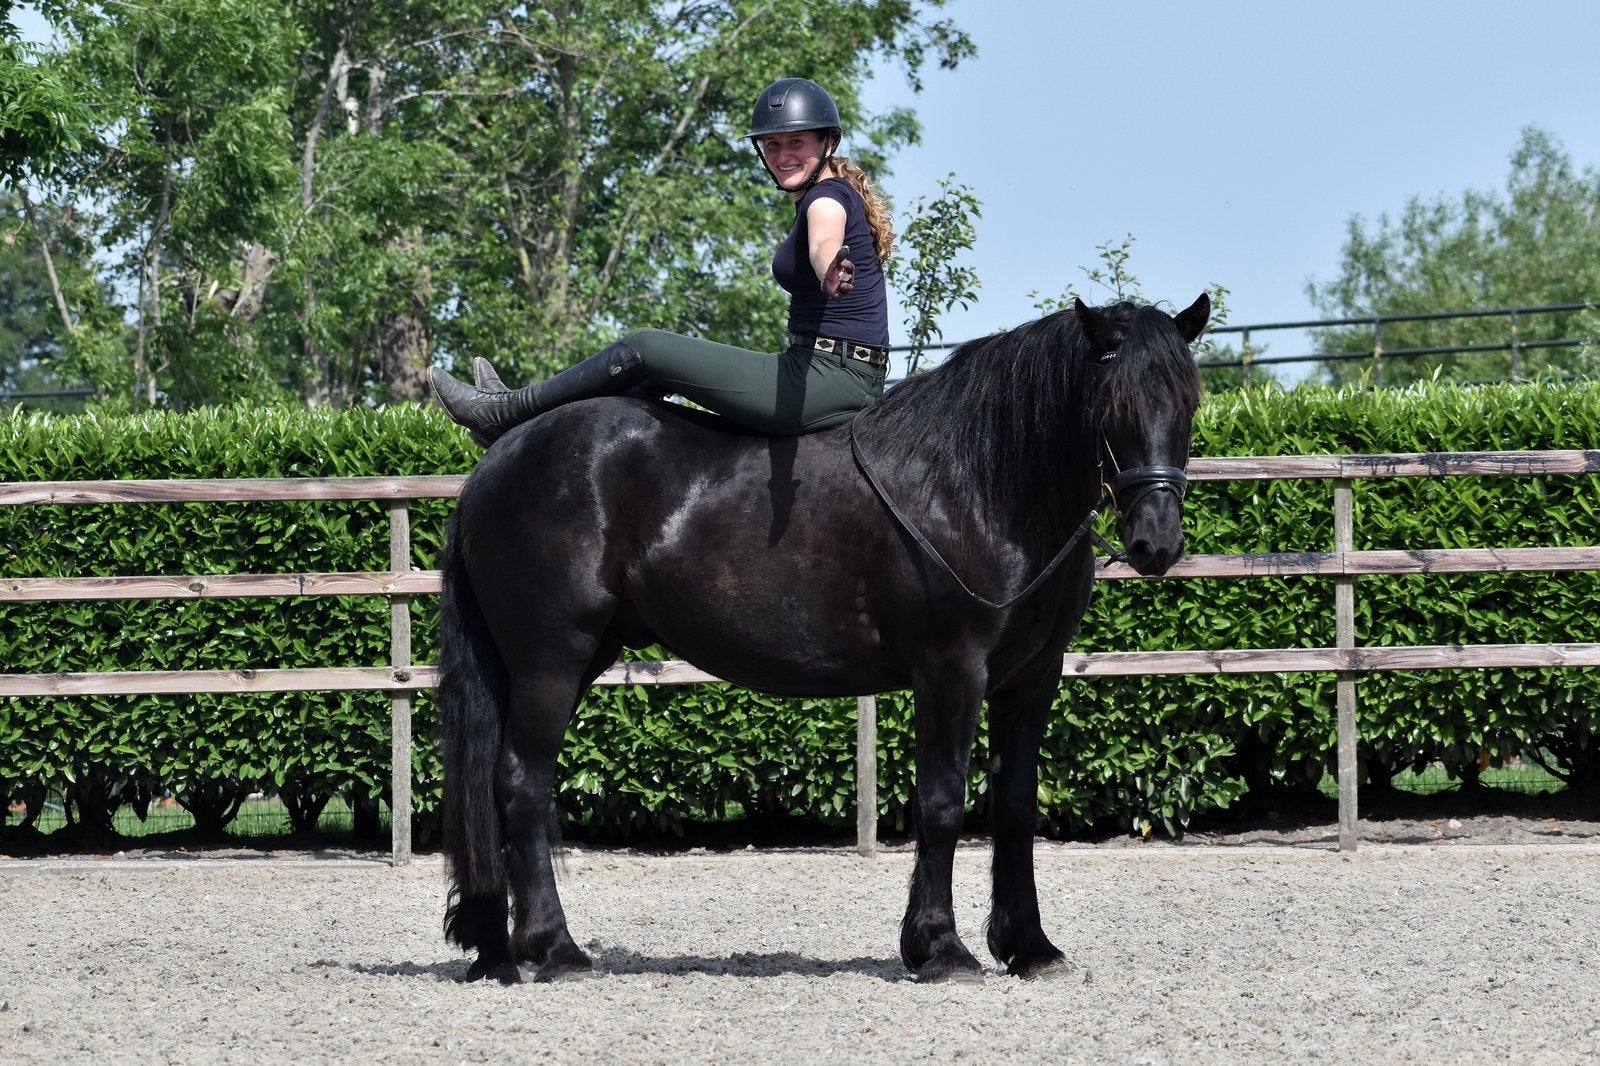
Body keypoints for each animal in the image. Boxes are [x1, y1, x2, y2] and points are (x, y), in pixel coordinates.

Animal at [436, 294, 1210, 984]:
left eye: (1189, 404)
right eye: (1112, 405)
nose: (1156, 541)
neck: (977, 486)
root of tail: (499, 458)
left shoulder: (1032, 678)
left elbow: (1015, 804)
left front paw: (1028, 947)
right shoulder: (951, 670)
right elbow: (942, 800)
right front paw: (942, 949)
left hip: (560, 659)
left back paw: (499, 946)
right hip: (550, 659)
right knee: (522, 784)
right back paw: (555, 948)